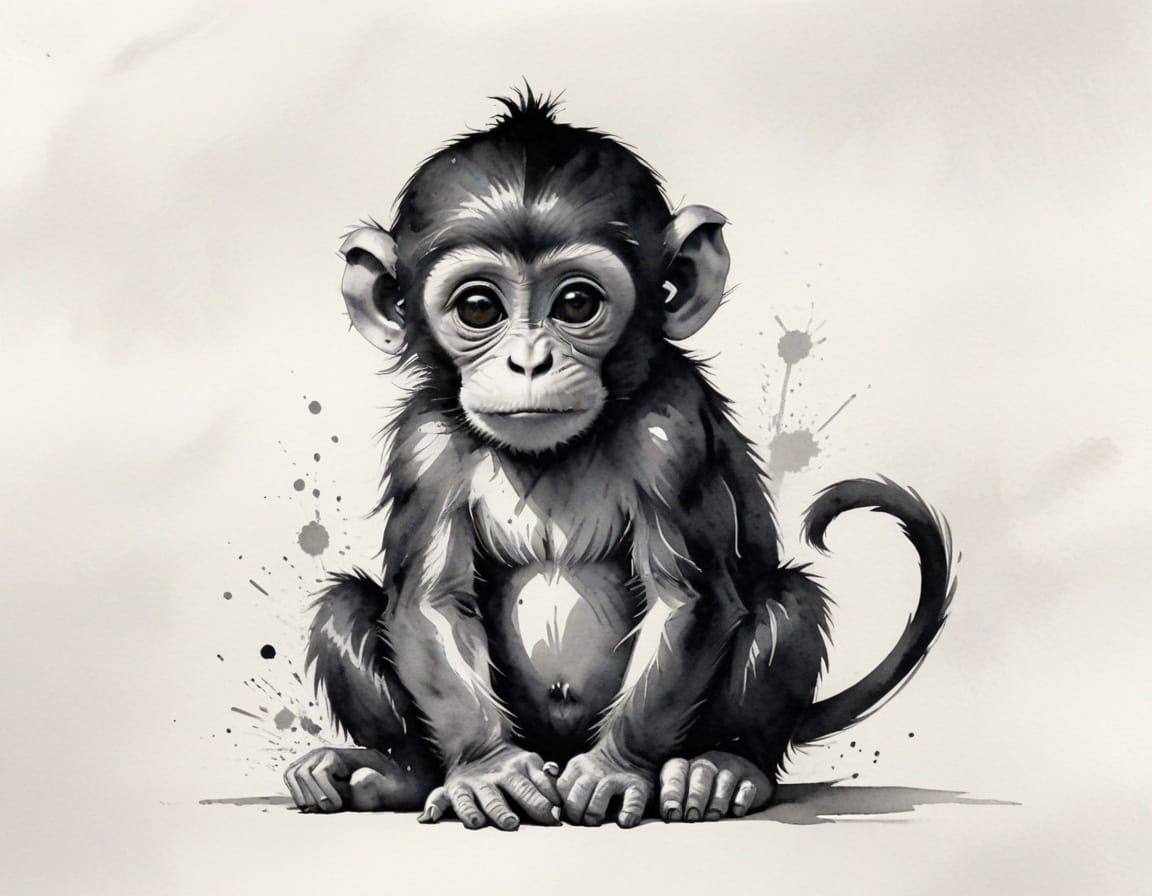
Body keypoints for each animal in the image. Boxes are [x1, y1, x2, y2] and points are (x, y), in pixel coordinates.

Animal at [283, 88, 954, 830]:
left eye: (576, 302)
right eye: (479, 308)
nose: (529, 361)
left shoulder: (672, 431)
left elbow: (687, 600)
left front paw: (615, 769)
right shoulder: (425, 447)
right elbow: (431, 604)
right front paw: (486, 770)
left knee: (788, 601)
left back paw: (724, 766)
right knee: (345, 605)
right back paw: (395, 774)